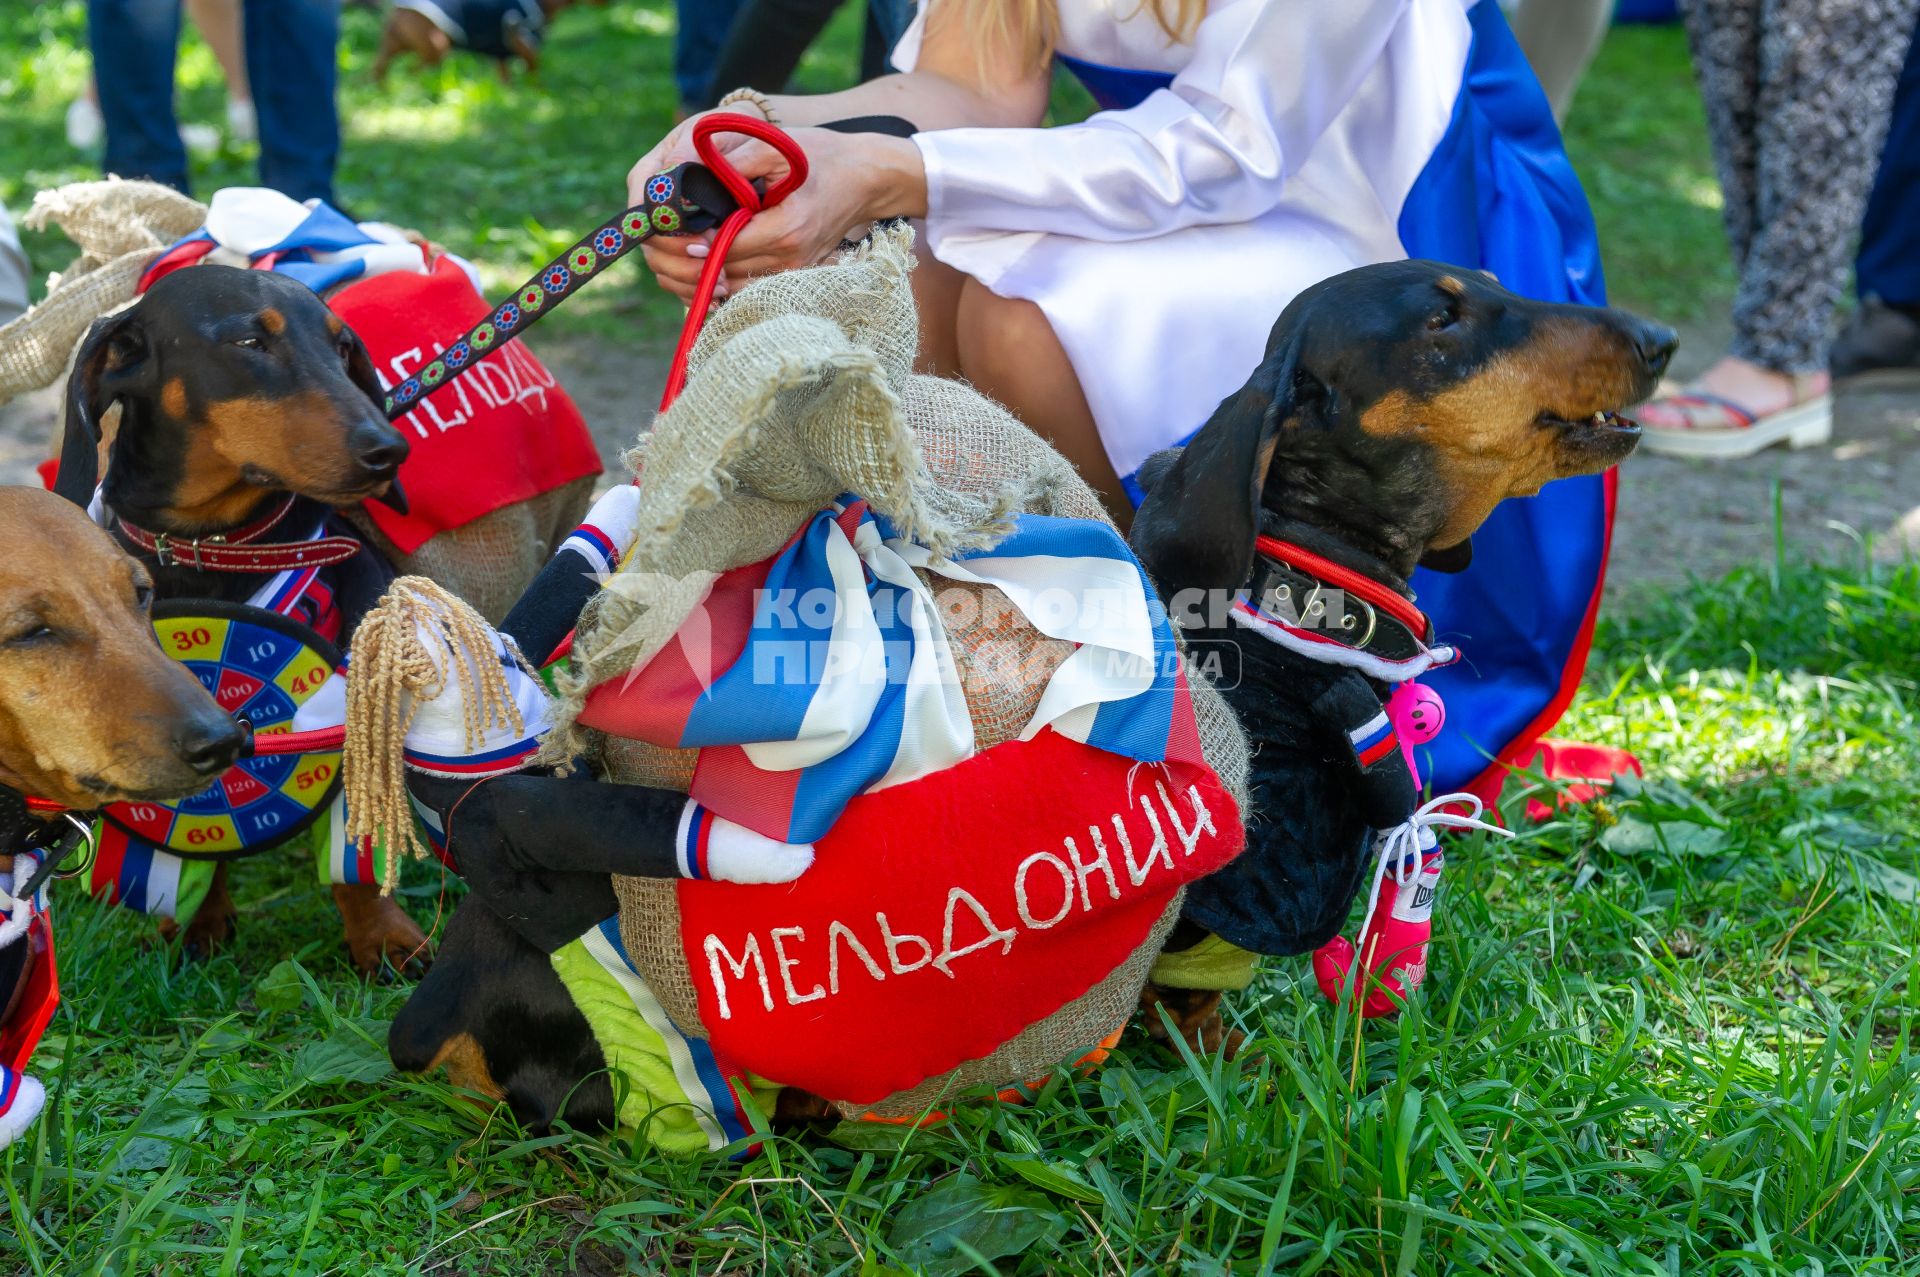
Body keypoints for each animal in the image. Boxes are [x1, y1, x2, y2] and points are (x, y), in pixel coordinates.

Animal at [364, 0, 591, 83]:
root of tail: (396, 9)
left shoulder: (501, 52)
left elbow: (505, 76)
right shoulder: (525, 42)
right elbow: (533, 73)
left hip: (392, 46)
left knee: (378, 69)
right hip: (436, 46)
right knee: (414, 71)